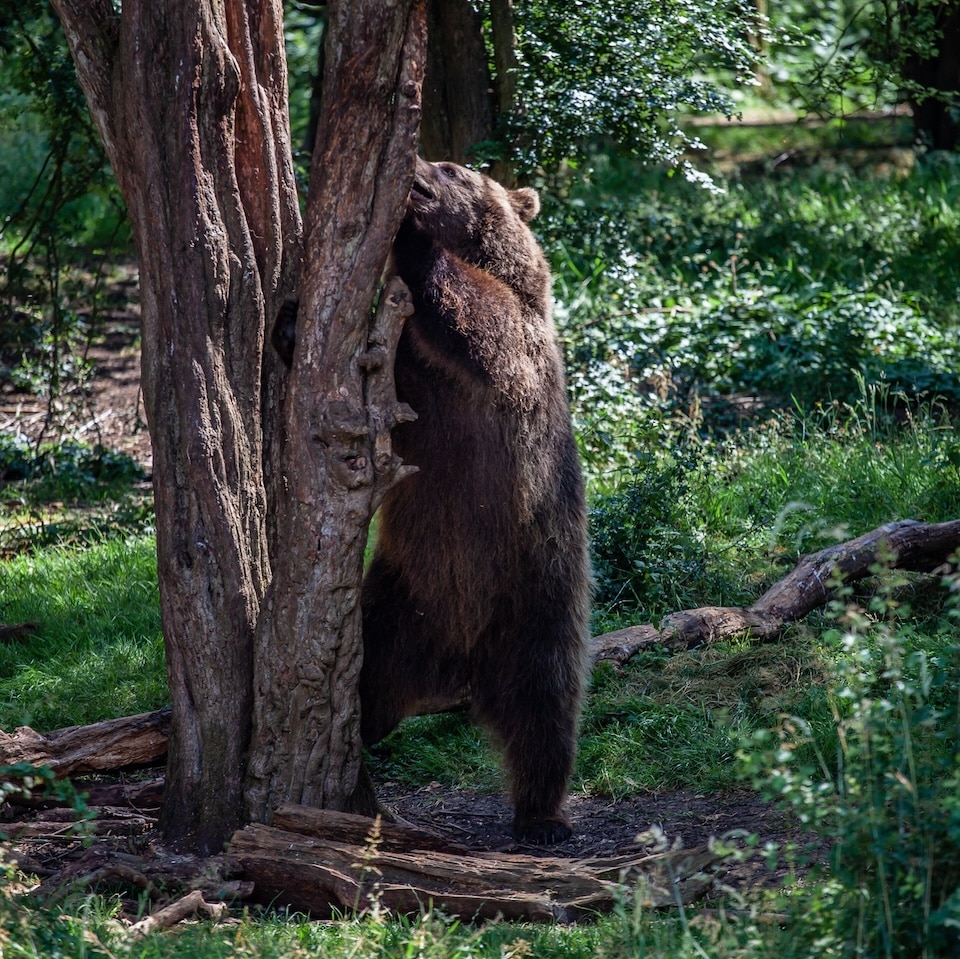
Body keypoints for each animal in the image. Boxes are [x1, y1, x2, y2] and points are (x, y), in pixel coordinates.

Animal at [274, 157, 591, 845]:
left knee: (547, 713)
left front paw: (414, 238)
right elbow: (367, 386)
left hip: (539, 598)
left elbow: (478, 321)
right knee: (368, 673)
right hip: (397, 602)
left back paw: (543, 817)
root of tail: (458, 675)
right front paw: (289, 319)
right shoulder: (409, 379)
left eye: (452, 169)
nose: (419, 164)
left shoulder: (511, 355)